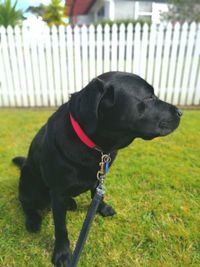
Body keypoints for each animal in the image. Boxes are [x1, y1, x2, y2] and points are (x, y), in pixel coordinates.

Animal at [12, 72, 181, 266]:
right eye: (149, 97)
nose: (180, 112)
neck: (96, 146)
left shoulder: (100, 175)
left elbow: (97, 193)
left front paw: (102, 207)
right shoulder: (58, 191)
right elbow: (61, 228)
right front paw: (62, 253)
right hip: (30, 182)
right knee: (26, 202)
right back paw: (33, 220)